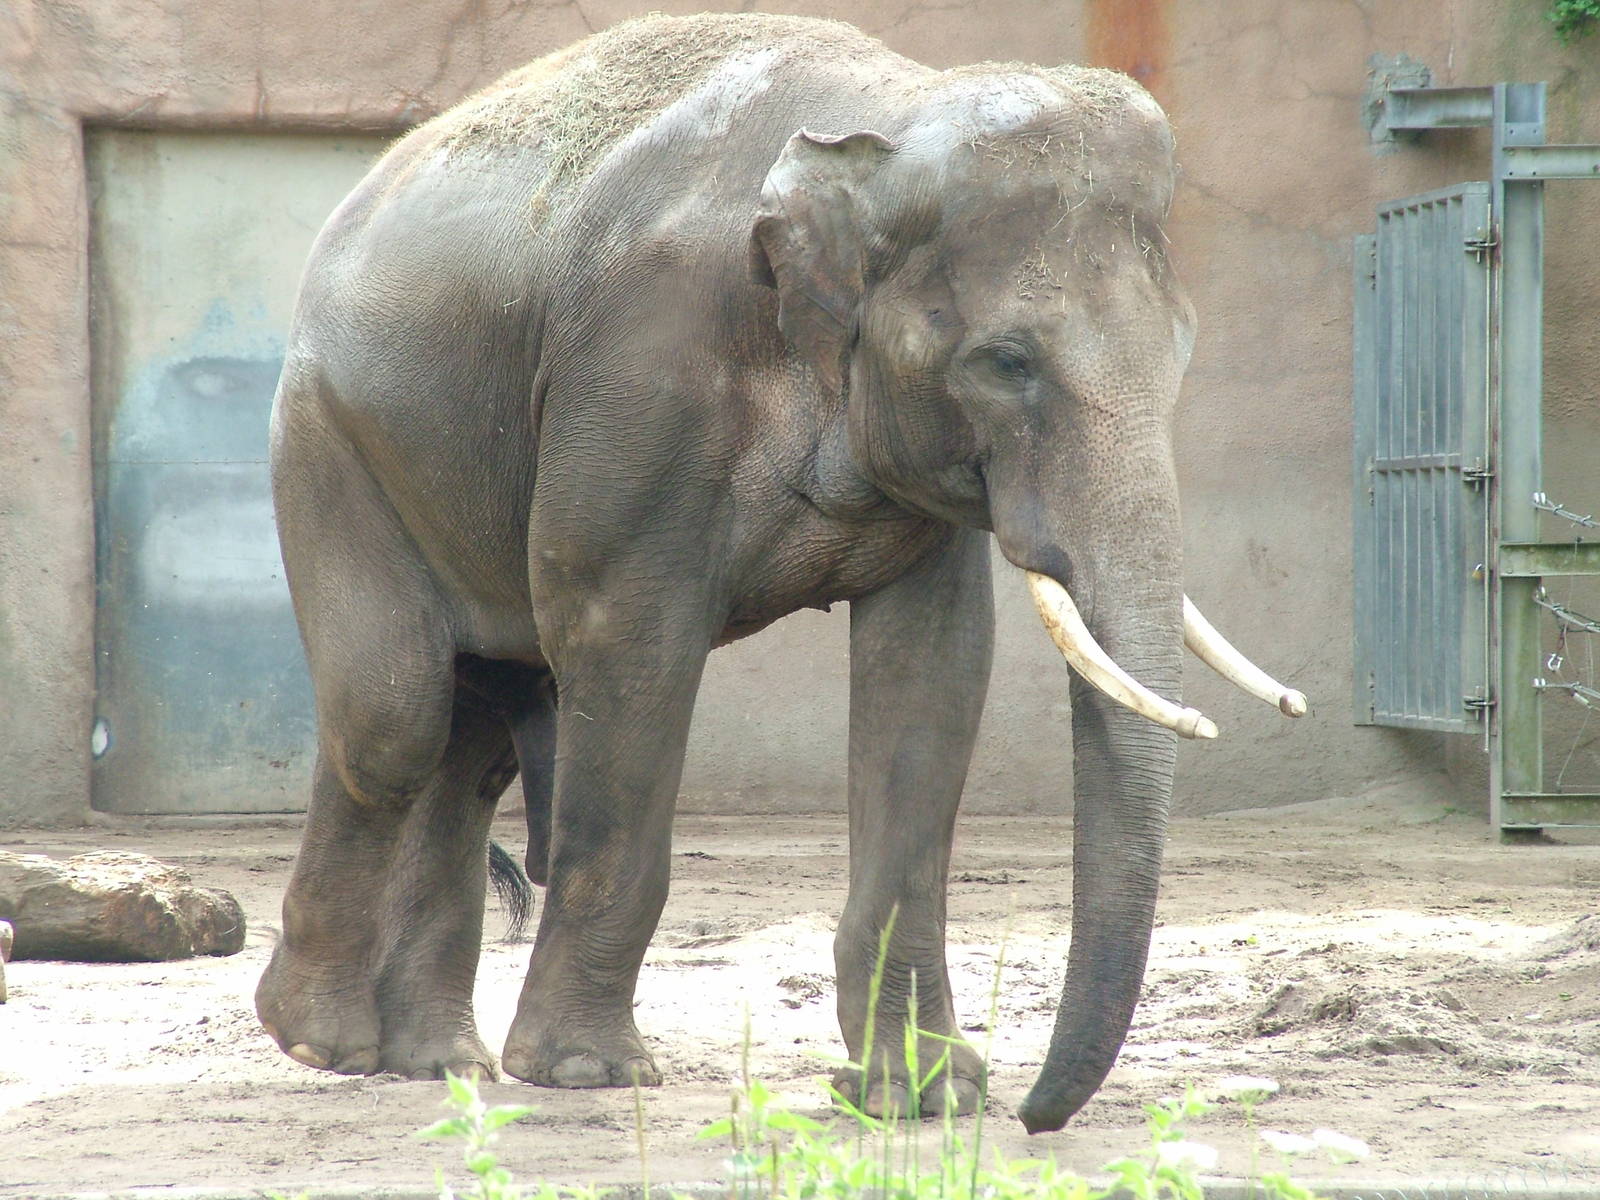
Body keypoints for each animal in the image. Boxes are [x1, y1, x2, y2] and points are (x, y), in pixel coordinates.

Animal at [255, 11, 1305, 1133]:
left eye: (1184, 352)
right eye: (1008, 363)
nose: (1030, 1113)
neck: (884, 121)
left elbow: (931, 676)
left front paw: (921, 1095)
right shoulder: (639, 381)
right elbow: (625, 643)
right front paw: (588, 1073)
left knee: (472, 737)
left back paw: (436, 1061)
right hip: (326, 439)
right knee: (395, 713)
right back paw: (319, 1038)